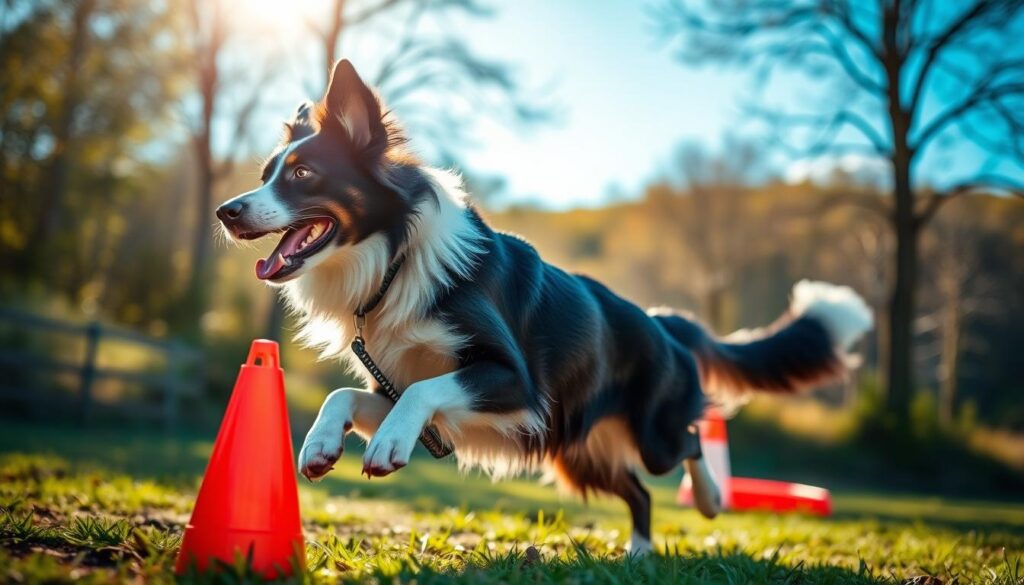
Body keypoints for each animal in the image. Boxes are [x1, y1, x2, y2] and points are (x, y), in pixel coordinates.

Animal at [216, 60, 872, 557]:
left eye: (303, 174)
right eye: (266, 174)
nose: (227, 211)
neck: (396, 257)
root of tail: (664, 323)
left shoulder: (513, 380)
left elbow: (425, 392)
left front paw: (386, 447)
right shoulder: (408, 387)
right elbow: (344, 395)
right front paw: (319, 446)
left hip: (648, 433)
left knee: (686, 443)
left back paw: (710, 500)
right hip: (577, 451)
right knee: (639, 492)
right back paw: (639, 554)